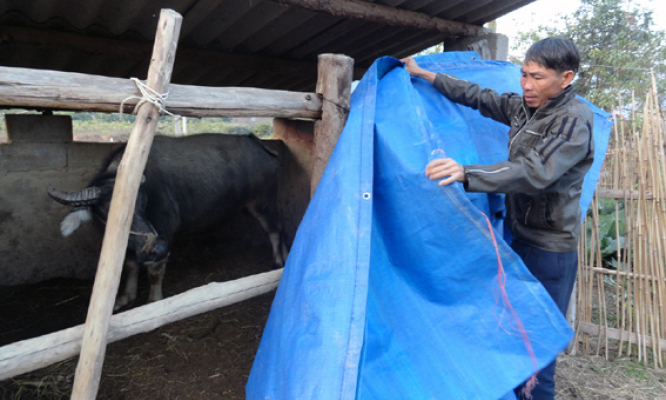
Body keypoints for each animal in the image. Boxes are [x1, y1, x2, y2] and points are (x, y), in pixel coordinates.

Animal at [46, 134, 286, 310]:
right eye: (109, 212)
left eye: (142, 202)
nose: (159, 247)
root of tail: (259, 143)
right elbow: (130, 265)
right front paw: (126, 296)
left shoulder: (165, 231)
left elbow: (155, 270)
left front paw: (154, 300)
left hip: (263, 202)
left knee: (275, 230)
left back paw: (278, 262)